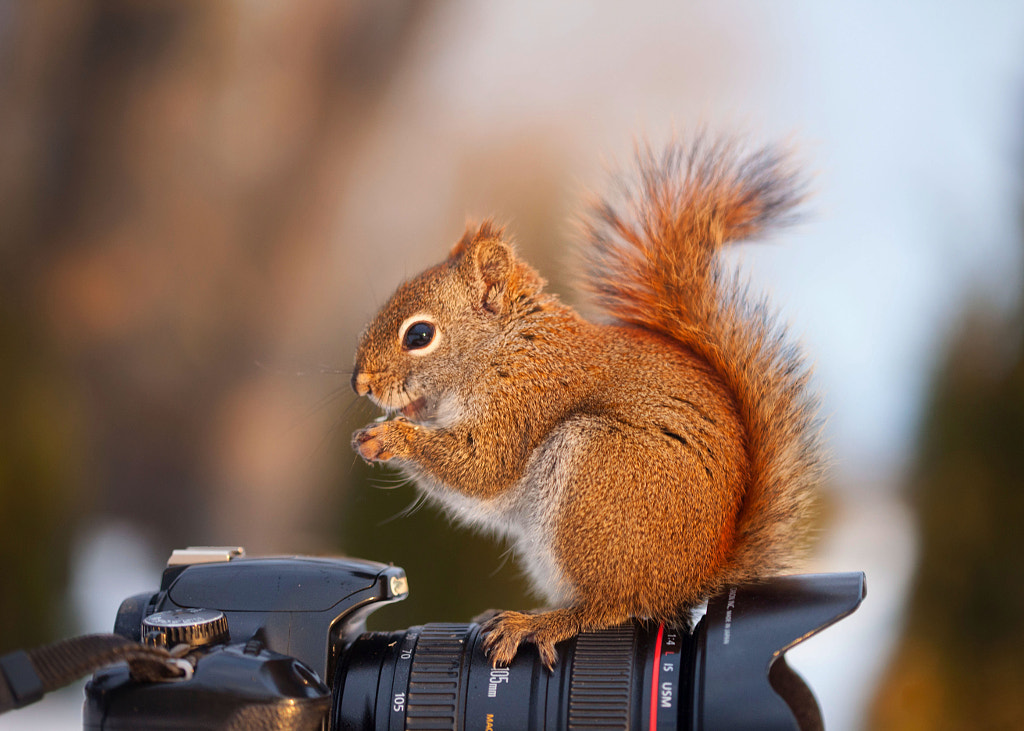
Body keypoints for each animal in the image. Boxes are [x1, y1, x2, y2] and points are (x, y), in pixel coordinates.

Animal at [352, 135, 823, 667]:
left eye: (420, 335)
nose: (360, 384)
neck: (506, 346)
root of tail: (697, 576)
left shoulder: (526, 400)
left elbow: (483, 468)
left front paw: (390, 438)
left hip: (599, 479)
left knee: (615, 604)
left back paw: (539, 623)